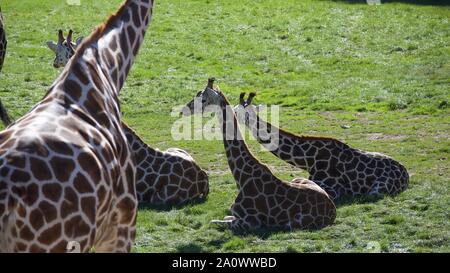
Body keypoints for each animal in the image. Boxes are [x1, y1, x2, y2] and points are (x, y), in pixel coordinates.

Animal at [183, 77, 334, 228]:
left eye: (202, 99)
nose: (185, 109)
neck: (241, 178)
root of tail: (332, 210)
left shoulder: (251, 222)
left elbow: (214, 221)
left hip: (293, 223)